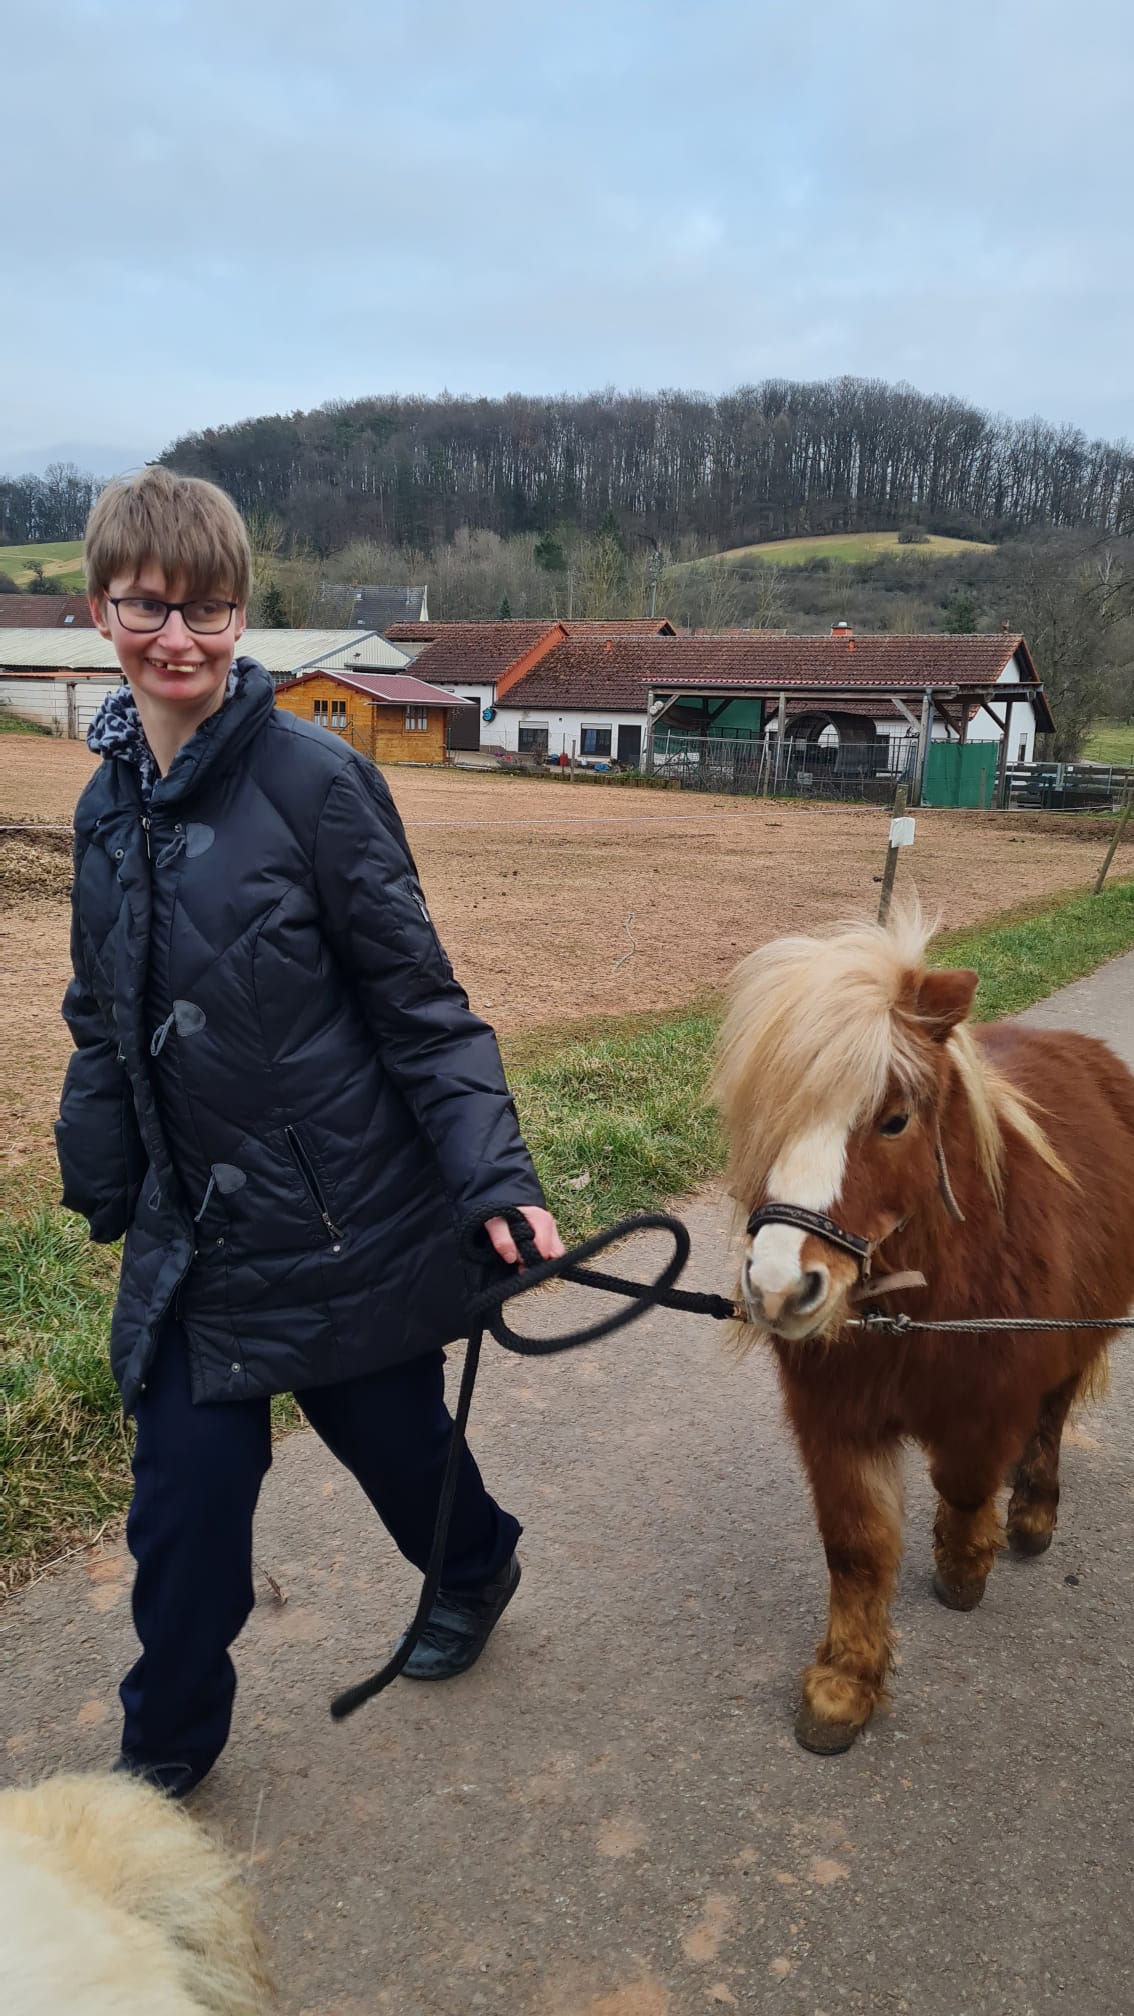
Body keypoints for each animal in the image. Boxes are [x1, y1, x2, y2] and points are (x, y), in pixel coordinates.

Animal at [710, 907, 1129, 1757]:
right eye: (769, 1115)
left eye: (895, 1120)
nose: (778, 1288)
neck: (918, 1303)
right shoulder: (835, 1421)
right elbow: (857, 1549)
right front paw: (844, 1685)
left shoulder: (985, 1404)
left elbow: (965, 1485)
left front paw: (965, 1566)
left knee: (1052, 1415)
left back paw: (1032, 1511)